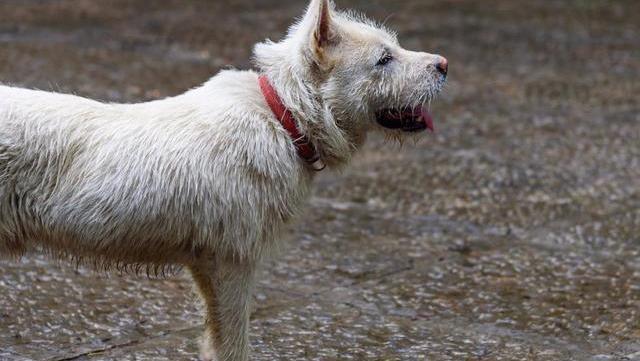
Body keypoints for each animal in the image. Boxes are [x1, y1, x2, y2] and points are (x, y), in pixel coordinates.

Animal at [0, 1, 448, 358]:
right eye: (383, 60)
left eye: (393, 49)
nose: (444, 65)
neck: (283, 116)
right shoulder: (233, 262)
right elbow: (233, 344)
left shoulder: (208, 267)